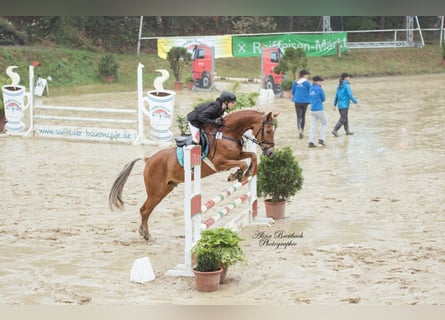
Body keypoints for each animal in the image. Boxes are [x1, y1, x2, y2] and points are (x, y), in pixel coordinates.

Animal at [109, 110, 276, 240]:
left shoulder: (237, 155)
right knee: (144, 210)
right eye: (268, 131)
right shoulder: (220, 163)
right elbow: (242, 164)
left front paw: (245, 172)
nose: (270, 152)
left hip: (165, 189)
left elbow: (251, 156)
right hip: (156, 191)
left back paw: (144, 232)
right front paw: (238, 175)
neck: (227, 133)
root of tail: (148, 159)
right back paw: (146, 235)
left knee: (146, 210)